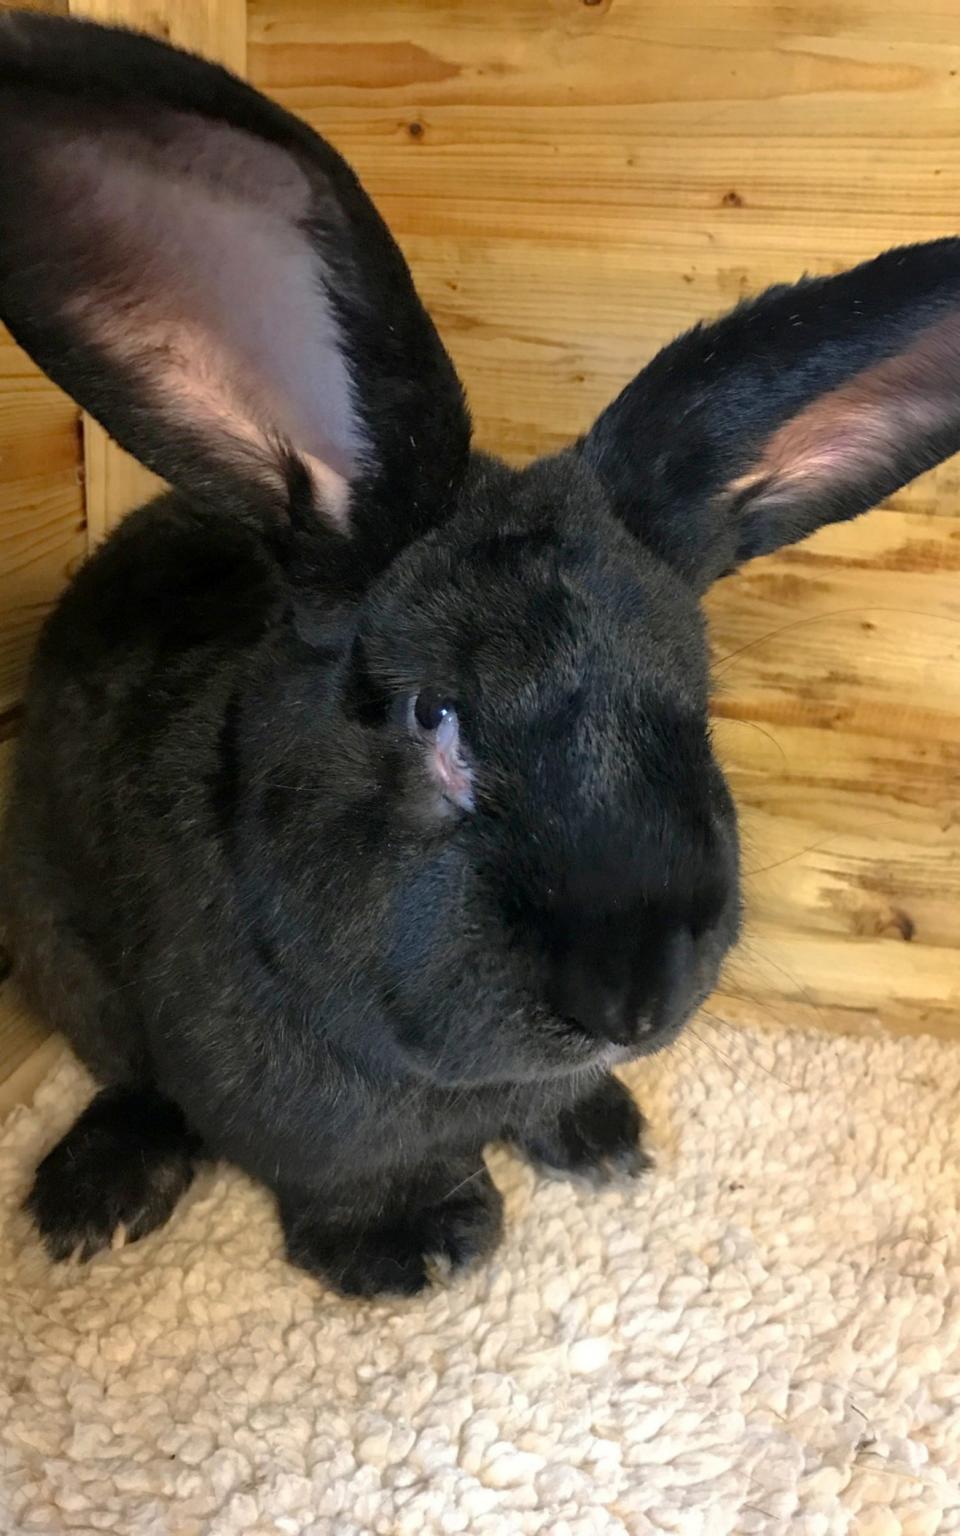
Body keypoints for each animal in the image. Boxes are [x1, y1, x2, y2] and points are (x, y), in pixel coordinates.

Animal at [1, 12, 958, 1296]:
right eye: (430, 717)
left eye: (695, 704)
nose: (634, 999)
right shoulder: (290, 1118)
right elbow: (341, 1172)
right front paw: (417, 1251)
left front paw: (600, 1142)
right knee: (126, 1076)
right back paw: (94, 1198)